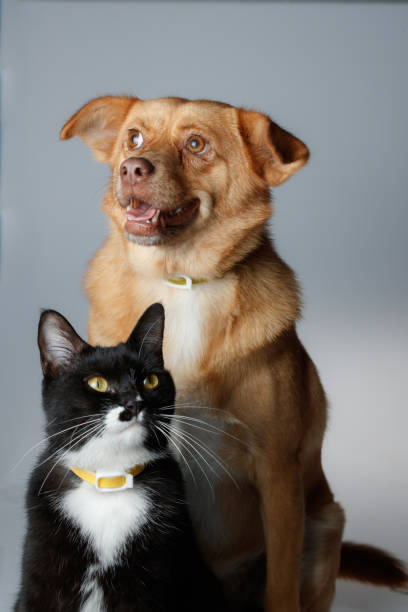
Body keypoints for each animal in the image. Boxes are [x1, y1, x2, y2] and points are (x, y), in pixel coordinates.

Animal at [60, 95, 408, 612]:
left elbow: (281, 585)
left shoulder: (278, 473)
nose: (131, 168)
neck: (179, 281)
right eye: (134, 137)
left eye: (196, 144)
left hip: (326, 524)